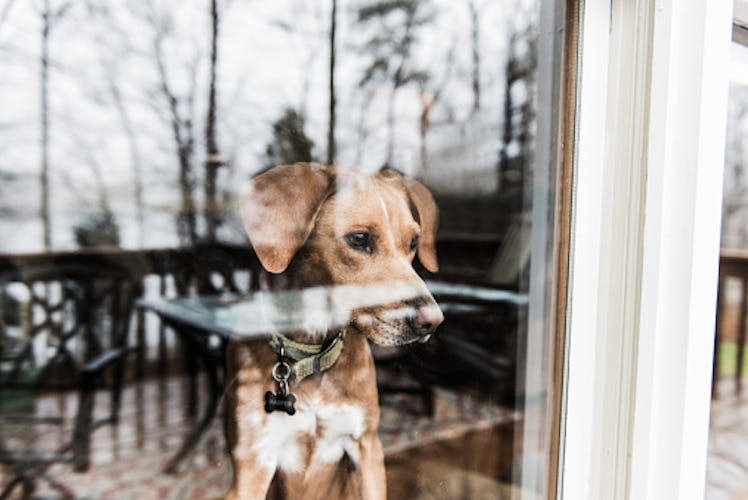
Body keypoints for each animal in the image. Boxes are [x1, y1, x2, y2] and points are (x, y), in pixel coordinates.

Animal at [225, 164, 442, 500]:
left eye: (414, 242)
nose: (432, 320)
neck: (312, 355)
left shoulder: (367, 448)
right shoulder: (253, 462)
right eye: (359, 239)